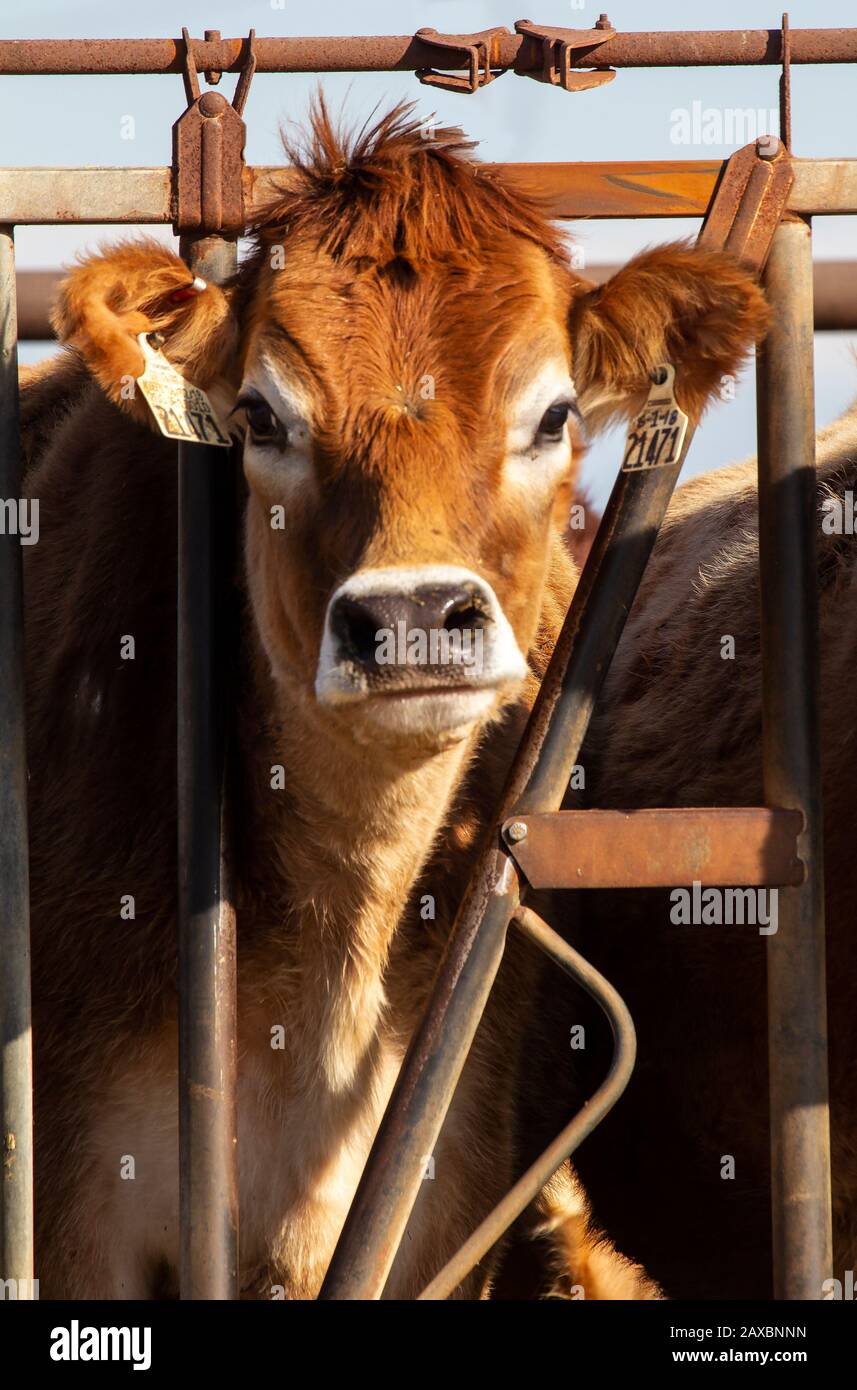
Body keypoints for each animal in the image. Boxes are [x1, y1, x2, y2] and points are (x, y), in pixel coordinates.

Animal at [19, 100, 767, 1299]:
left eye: (554, 414)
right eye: (260, 417)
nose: (412, 612)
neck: (333, 950)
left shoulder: (443, 1201)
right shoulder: (78, 1212)